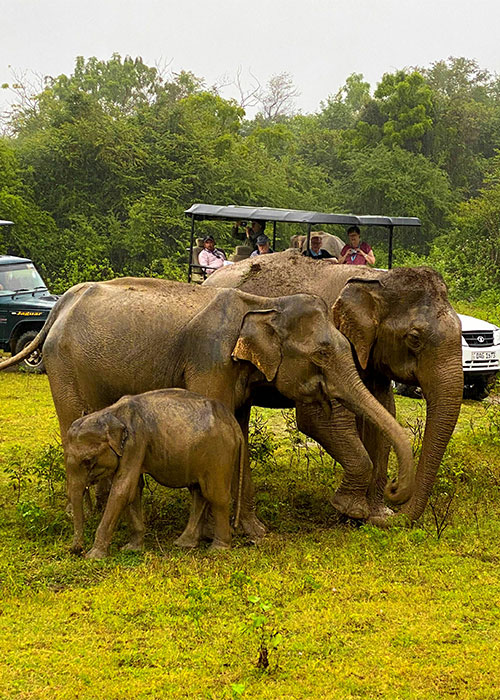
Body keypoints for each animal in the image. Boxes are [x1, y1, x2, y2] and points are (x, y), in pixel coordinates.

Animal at [66, 388, 246, 556]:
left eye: (88, 460)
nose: (77, 550)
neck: (110, 412)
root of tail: (233, 422)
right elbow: (134, 490)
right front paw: (132, 548)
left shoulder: (136, 442)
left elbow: (123, 490)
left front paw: (94, 556)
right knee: (198, 492)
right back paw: (184, 544)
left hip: (219, 452)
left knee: (215, 495)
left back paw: (217, 549)